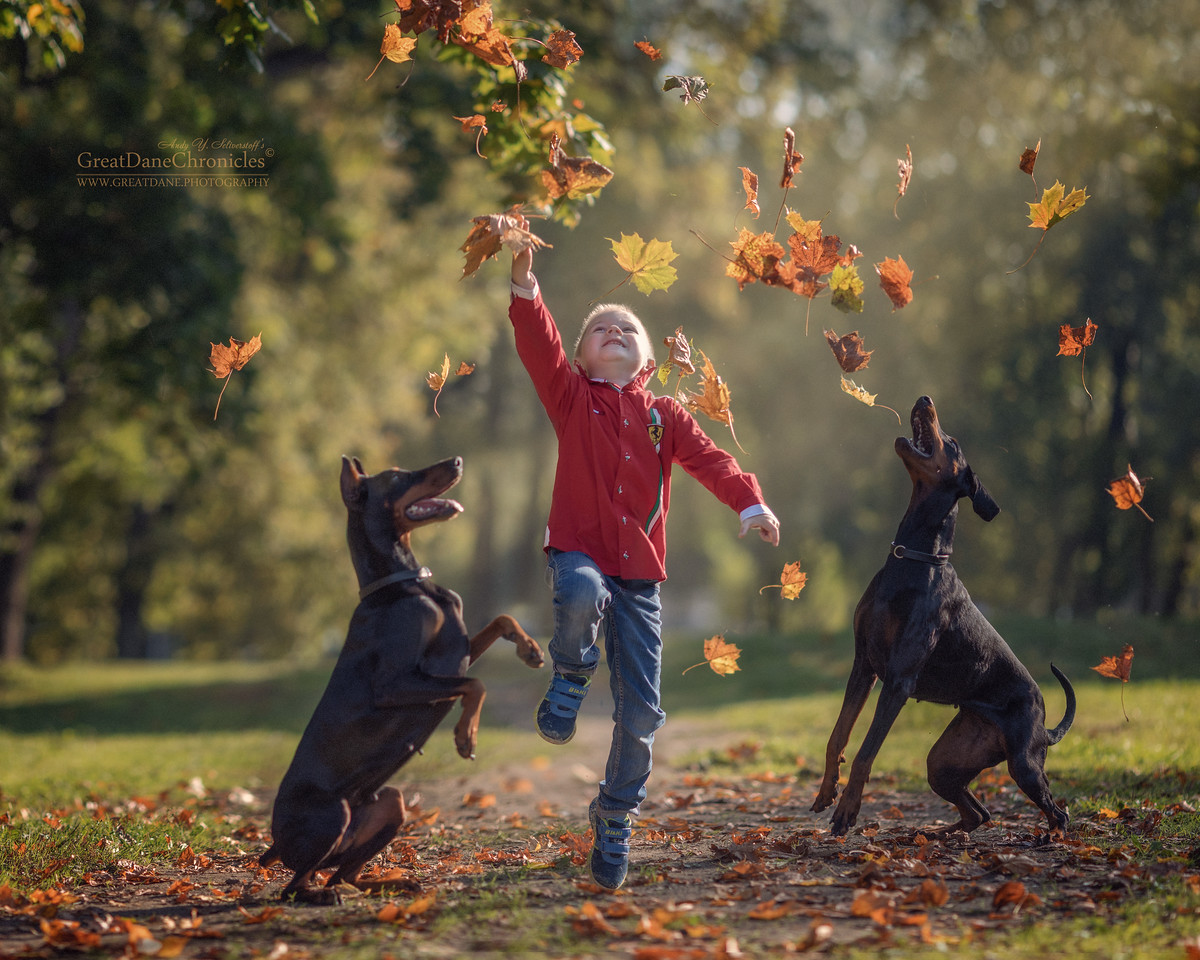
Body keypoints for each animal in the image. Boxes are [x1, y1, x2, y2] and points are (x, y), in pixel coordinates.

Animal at [265, 456, 547, 902]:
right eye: (398, 476)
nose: (457, 460)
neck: (405, 581)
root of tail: (274, 844)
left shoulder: (453, 653)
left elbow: (502, 620)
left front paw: (531, 650)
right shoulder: (394, 683)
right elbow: (476, 684)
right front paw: (466, 736)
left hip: (391, 803)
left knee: (343, 873)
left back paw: (392, 882)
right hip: (334, 814)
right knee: (296, 886)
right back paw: (322, 895)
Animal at [811, 396, 1075, 830]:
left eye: (952, 442)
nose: (925, 399)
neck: (913, 557)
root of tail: (1046, 726)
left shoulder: (898, 681)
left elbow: (866, 752)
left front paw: (847, 810)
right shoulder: (864, 664)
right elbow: (839, 735)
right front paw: (826, 791)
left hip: (1023, 764)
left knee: (1057, 810)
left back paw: (1047, 836)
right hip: (945, 761)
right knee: (978, 812)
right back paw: (939, 834)